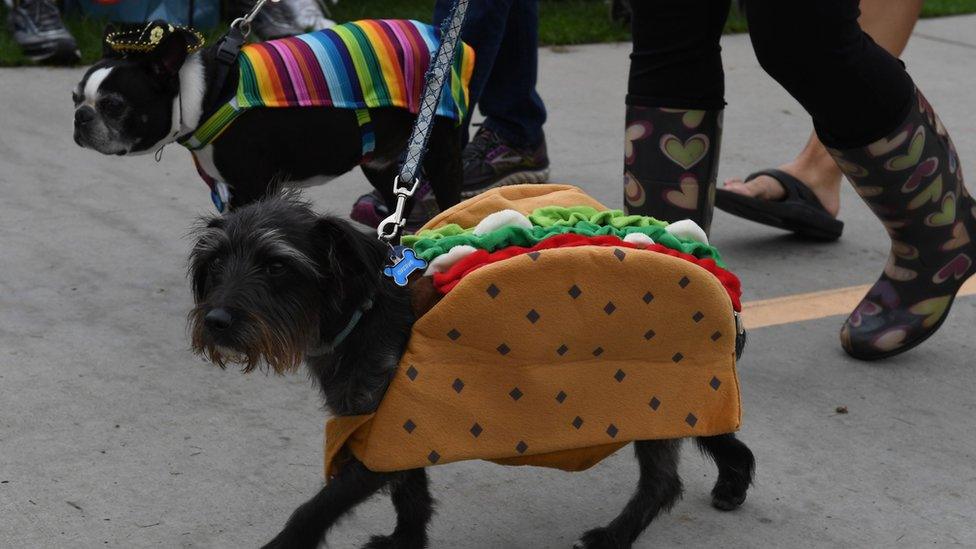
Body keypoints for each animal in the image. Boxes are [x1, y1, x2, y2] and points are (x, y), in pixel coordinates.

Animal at [72, 26, 462, 213]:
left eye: (113, 105)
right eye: (75, 97)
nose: (80, 117)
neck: (207, 93)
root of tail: (433, 31)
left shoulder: (252, 188)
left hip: (440, 152)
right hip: (381, 163)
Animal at [189, 195, 756, 544]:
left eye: (277, 265)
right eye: (215, 264)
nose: (216, 321)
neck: (363, 312)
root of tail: (723, 289)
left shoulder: (379, 438)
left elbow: (313, 510)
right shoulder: (395, 426)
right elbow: (411, 493)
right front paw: (406, 542)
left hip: (660, 392)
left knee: (663, 482)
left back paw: (615, 536)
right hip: (680, 401)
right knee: (723, 437)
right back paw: (733, 483)